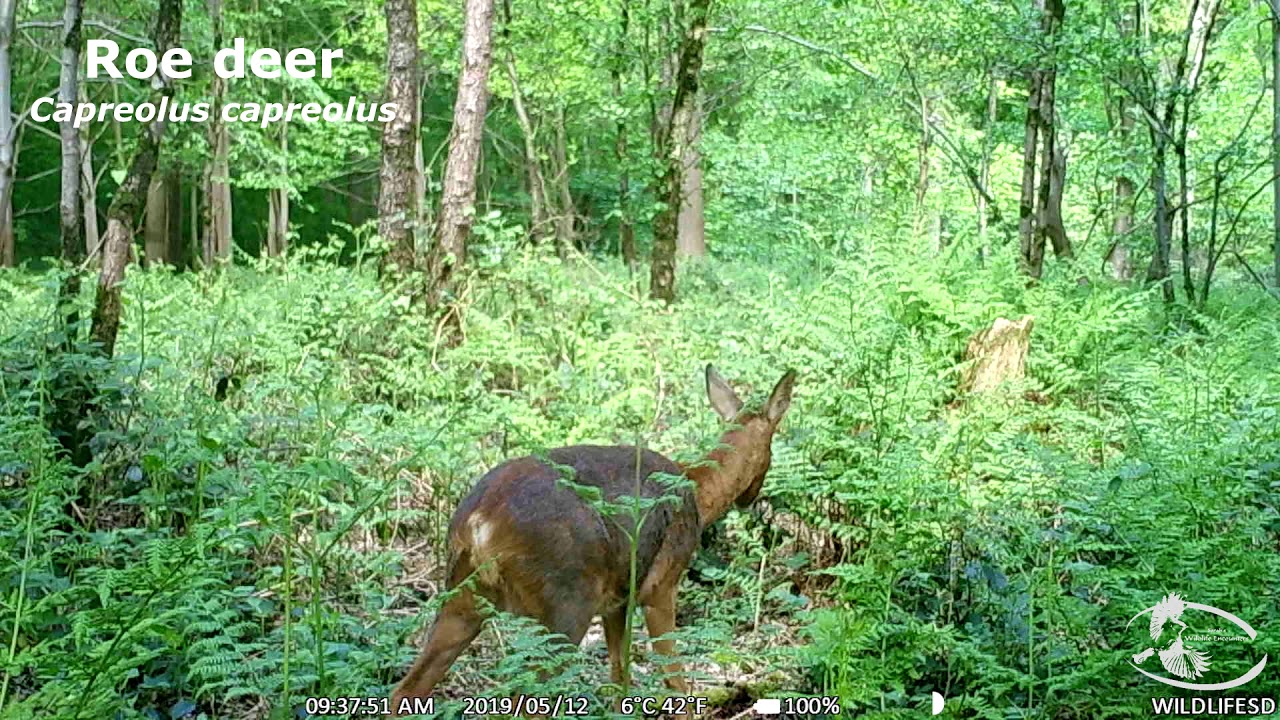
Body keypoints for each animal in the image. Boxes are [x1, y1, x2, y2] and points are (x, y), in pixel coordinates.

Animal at [390, 366, 796, 714]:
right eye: (773, 446)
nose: (751, 497)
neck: (698, 490)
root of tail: (477, 522)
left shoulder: (617, 600)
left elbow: (619, 677)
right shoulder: (659, 586)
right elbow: (675, 683)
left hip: (463, 593)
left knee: (405, 690)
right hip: (565, 601)